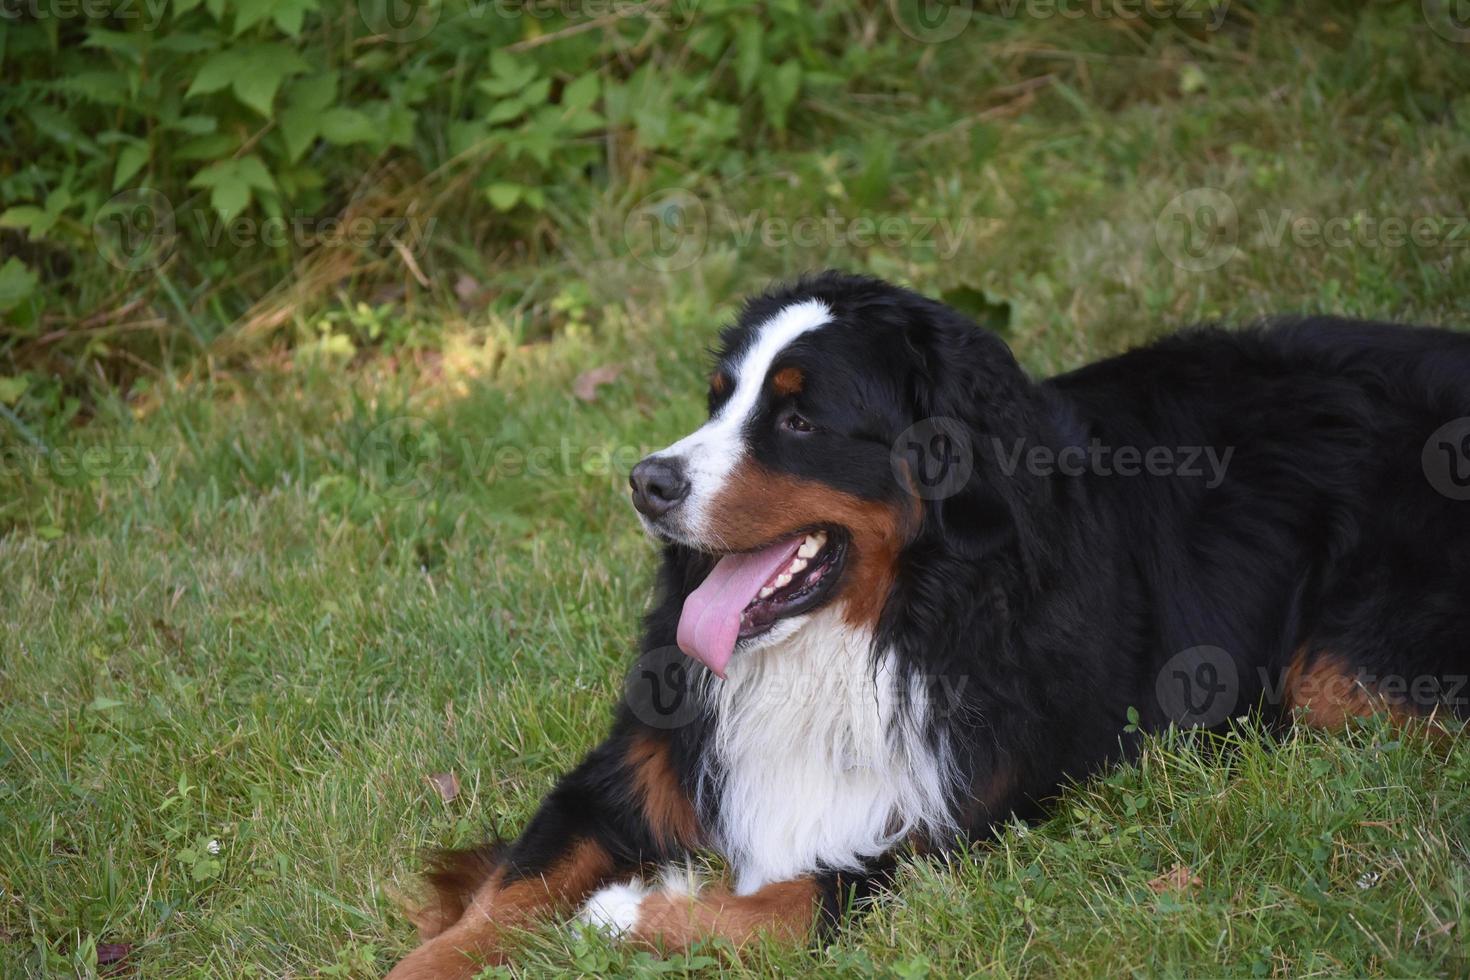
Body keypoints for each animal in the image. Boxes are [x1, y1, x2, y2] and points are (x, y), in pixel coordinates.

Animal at [388, 271, 1470, 975]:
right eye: (719, 398)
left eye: (798, 418)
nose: (647, 482)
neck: (869, 634)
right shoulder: (634, 767)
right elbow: (502, 898)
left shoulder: (949, 828)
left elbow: (785, 903)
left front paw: (629, 911)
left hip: (1344, 674)